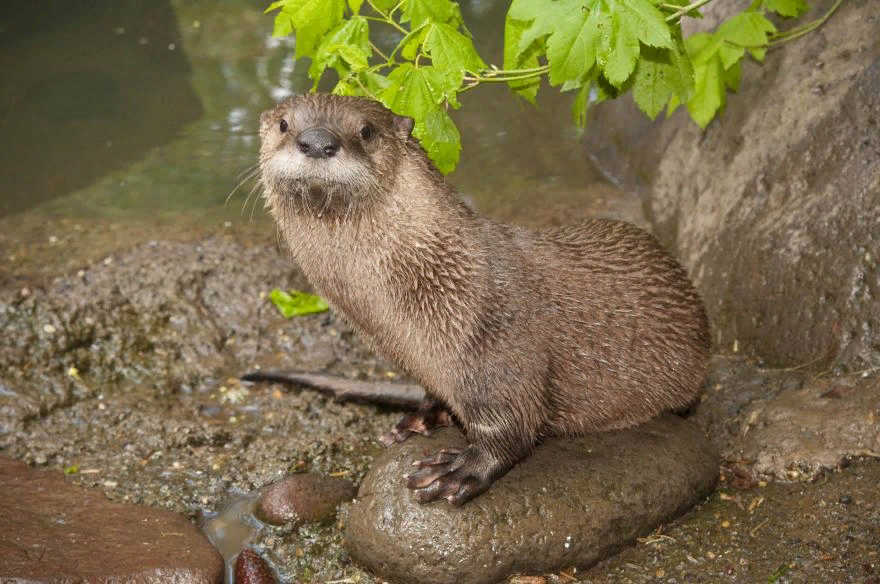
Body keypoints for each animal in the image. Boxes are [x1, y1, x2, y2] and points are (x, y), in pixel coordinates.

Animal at [258, 93, 712, 504]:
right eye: (284, 124)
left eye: (366, 131)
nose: (317, 141)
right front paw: (424, 416)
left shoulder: (497, 343)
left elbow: (514, 426)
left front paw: (461, 469)